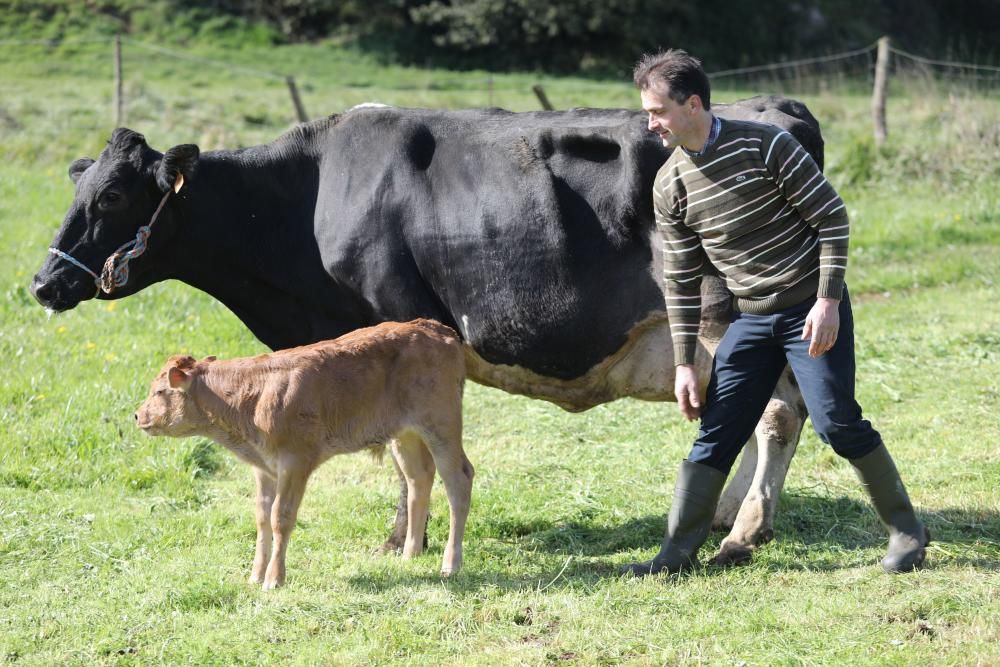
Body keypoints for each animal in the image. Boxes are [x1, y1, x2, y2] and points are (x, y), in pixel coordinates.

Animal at [133, 320, 472, 588]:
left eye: (160, 391)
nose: (137, 415)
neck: (253, 394)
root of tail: (437, 328)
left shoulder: (295, 462)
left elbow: (280, 517)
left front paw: (274, 579)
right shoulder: (263, 467)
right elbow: (261, 517)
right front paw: (255, 575)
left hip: (441, 426)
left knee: (458, 480)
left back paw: (450, 564)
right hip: (404, 435)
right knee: (418, 479)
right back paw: (409, 555)